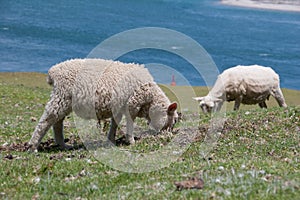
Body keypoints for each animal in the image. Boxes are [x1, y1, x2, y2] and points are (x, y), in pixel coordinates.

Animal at [28, 58, 178, 151]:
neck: (150, 97)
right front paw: (131, 141)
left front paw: (111, 139)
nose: (168, 135)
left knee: (57, 122)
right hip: (61, 96)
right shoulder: (131, 105)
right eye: (174, 120)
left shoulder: (118, 108)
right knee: (47, 120)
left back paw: (63, 145)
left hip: (64, 101)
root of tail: (53, 71)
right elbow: (129, 123)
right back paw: (33, 146)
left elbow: (115, 124)